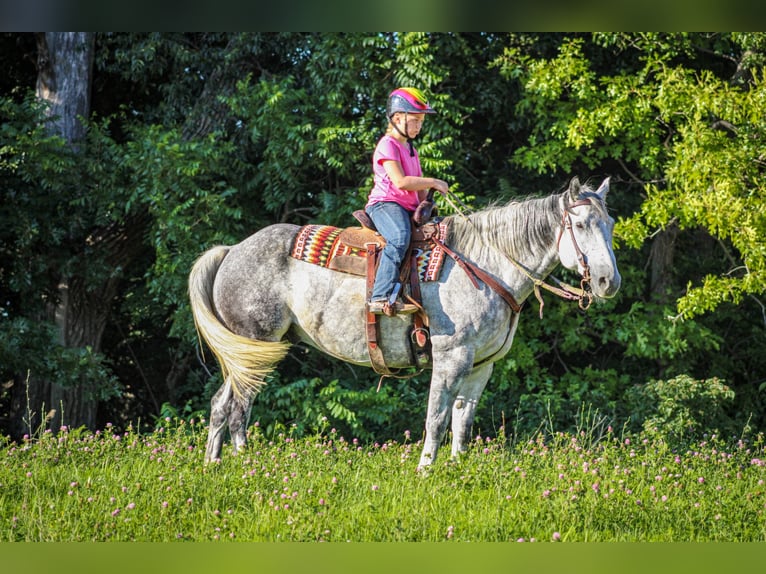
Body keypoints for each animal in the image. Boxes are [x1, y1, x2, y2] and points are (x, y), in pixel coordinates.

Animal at [192, 178, 624, 470]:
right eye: (580, 225)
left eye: (610, 223)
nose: (609, 281)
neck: (486, 263)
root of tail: (232, 250)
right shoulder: (451, 356)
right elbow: (437, 416)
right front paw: (425, 470)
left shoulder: (481, 366)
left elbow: (463, 419)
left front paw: (459, 469)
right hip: (255, 346)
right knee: (235, 406)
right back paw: (239, 465)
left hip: (251, 354)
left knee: (225, 404)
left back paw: (220, 465)